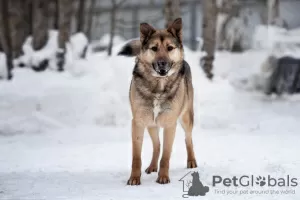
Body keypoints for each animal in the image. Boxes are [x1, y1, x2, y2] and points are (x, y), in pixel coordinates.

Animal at [118, 18, 198, 185]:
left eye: (169, 48)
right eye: (154, 48)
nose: (162, 63)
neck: (158, 86)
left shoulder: (170, 124)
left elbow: (166, 156)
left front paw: (163, 177)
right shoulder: (138, 122)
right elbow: (136, 157)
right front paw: (134, 178)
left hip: (186, 118)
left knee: (188, 138)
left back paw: (191, 161)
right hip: (151, 125)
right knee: (157, 145)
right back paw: (152, 166)